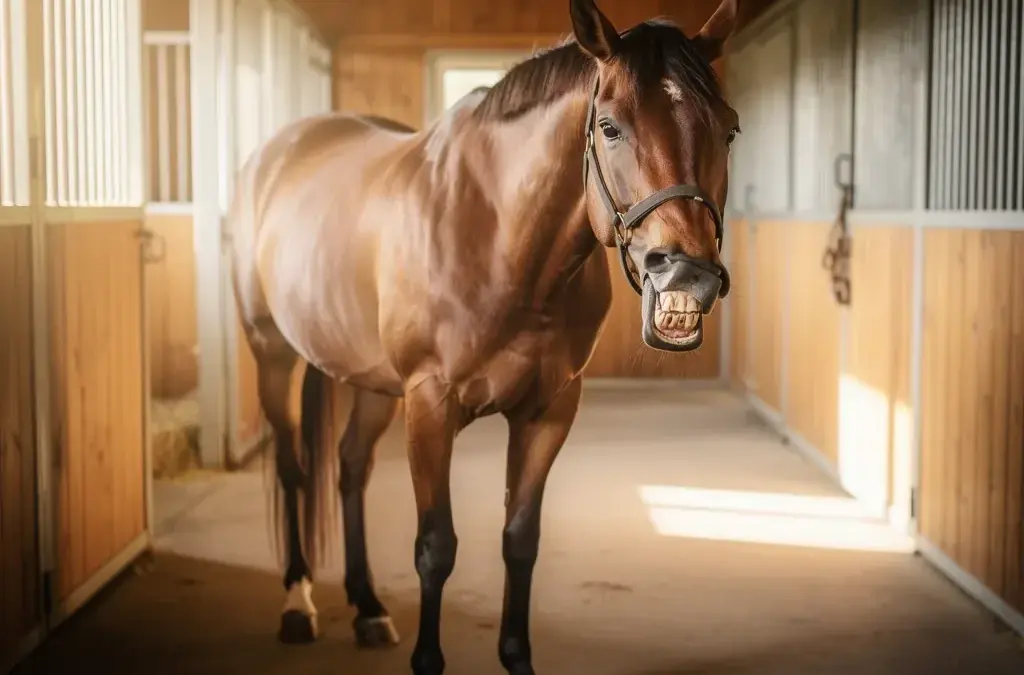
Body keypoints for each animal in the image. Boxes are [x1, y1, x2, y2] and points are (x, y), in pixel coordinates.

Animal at [227, 0, 741, 672]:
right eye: (609, 127)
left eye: (728, 130)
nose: (686, 273)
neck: (501, 237)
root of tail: (276, 154)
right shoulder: (430, 404)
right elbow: (435, 546)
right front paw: (427, 658)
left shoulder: (549, 411)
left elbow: (520, 540)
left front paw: (516, 655)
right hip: (273, 355)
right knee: (294, 469)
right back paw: (297, 602)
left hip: (371, 381)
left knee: (350, 466)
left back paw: (367, 606)